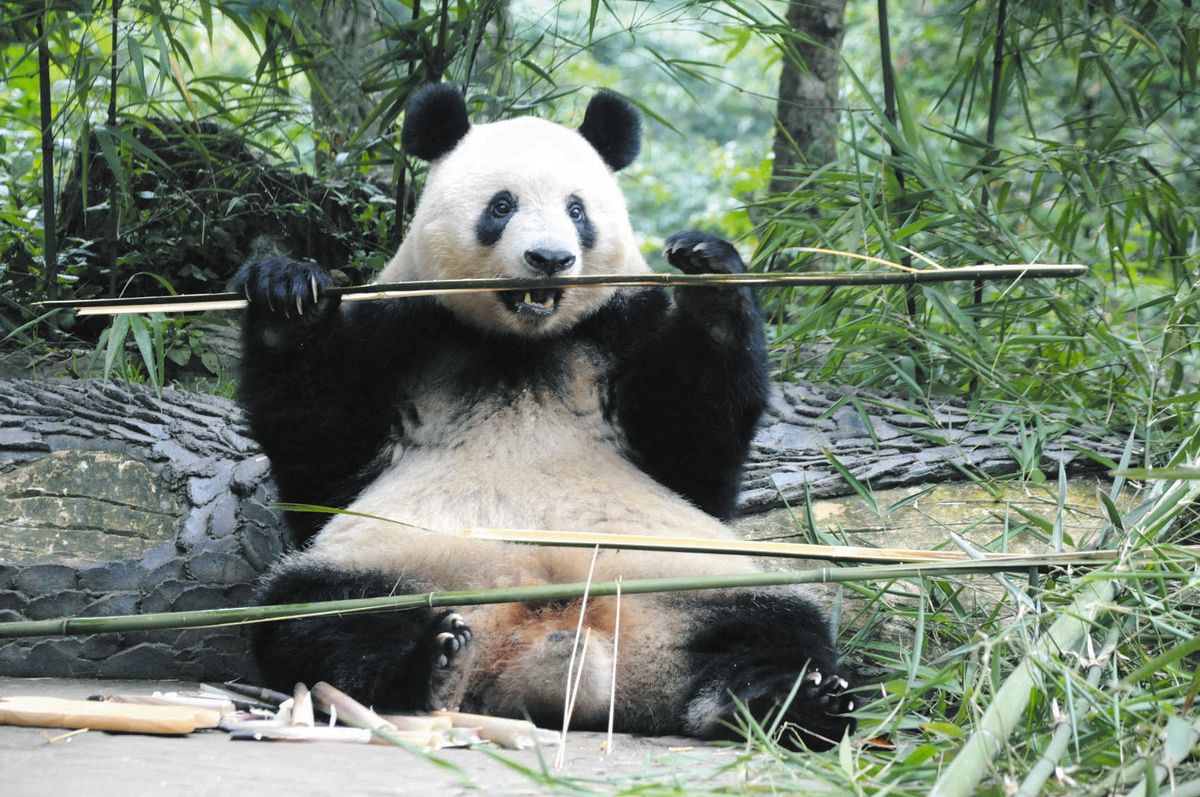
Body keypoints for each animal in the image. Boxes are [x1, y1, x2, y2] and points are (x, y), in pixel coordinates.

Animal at [234, 84, 854, 748]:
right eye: (501, 205)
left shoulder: (623, 327)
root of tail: (550, 651)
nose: (550, 258)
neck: (522, 344)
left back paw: (790, 701)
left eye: (577, 210)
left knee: (781, 626)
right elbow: (322, 461)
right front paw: (287, 295)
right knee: (319, 617)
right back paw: (432, 664)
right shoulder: (401, 329)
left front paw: (708, 268)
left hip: (695, 579)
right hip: (396, 565)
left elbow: (696, 451)